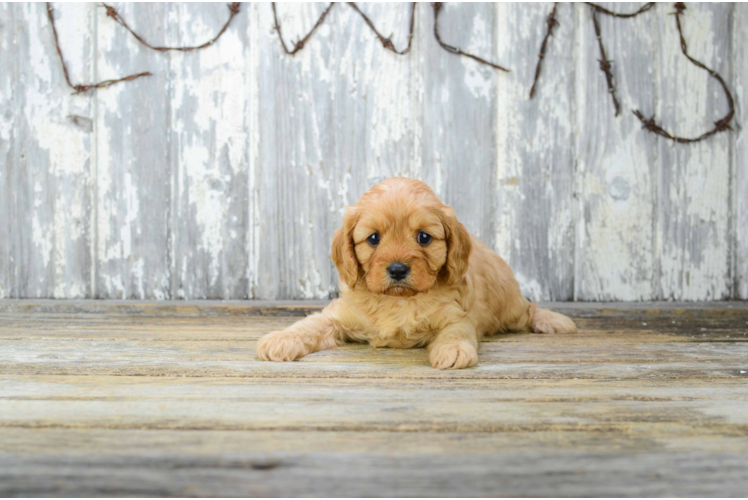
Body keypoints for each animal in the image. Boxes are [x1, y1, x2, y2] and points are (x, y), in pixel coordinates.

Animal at [258, 178, 580, 370]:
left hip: (509, 305)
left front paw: (453, 350)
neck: (398, 300)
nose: (398, 269)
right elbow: (310, 324)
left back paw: (551, 320)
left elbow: (456, 332)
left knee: (528, 309)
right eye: (373, 238)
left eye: (424, 237)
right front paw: (281, 339)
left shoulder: (457, 315)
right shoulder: (338, 315)